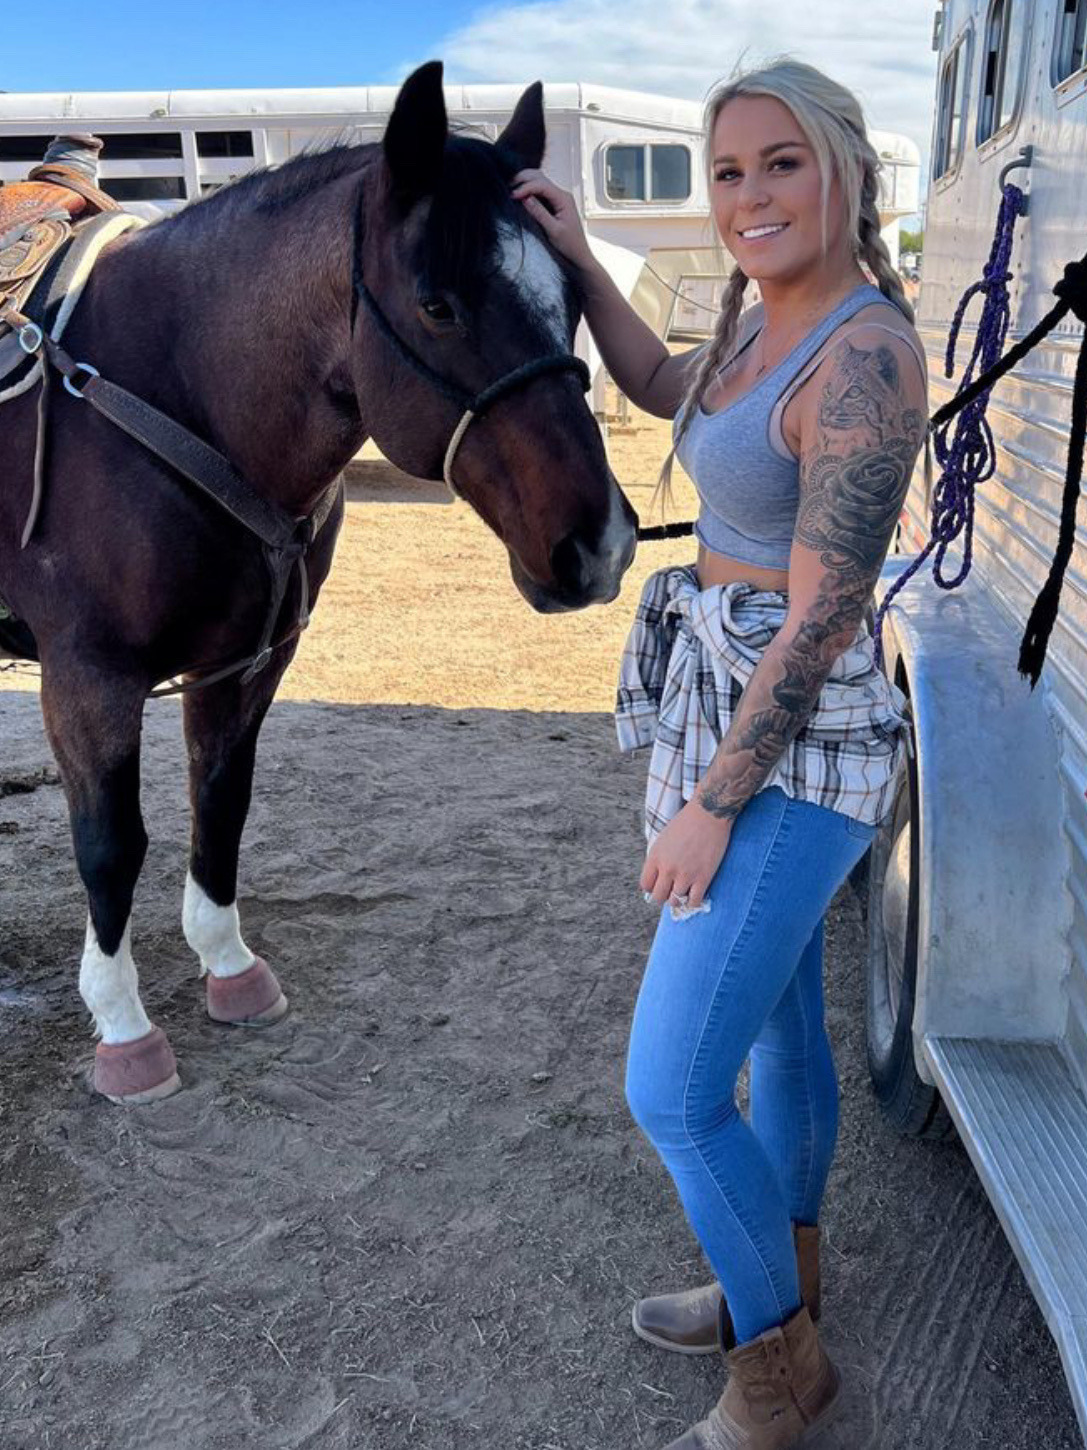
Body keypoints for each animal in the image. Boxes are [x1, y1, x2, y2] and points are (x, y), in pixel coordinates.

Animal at [0, 61, 638, 1104]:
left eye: (574, 300)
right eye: (437, 305)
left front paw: (226, 964)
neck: (167, 385)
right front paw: (122, 1025)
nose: (604, 544)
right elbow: (111, 845)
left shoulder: (245, 664)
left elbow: (221, 803)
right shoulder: (89, 677)